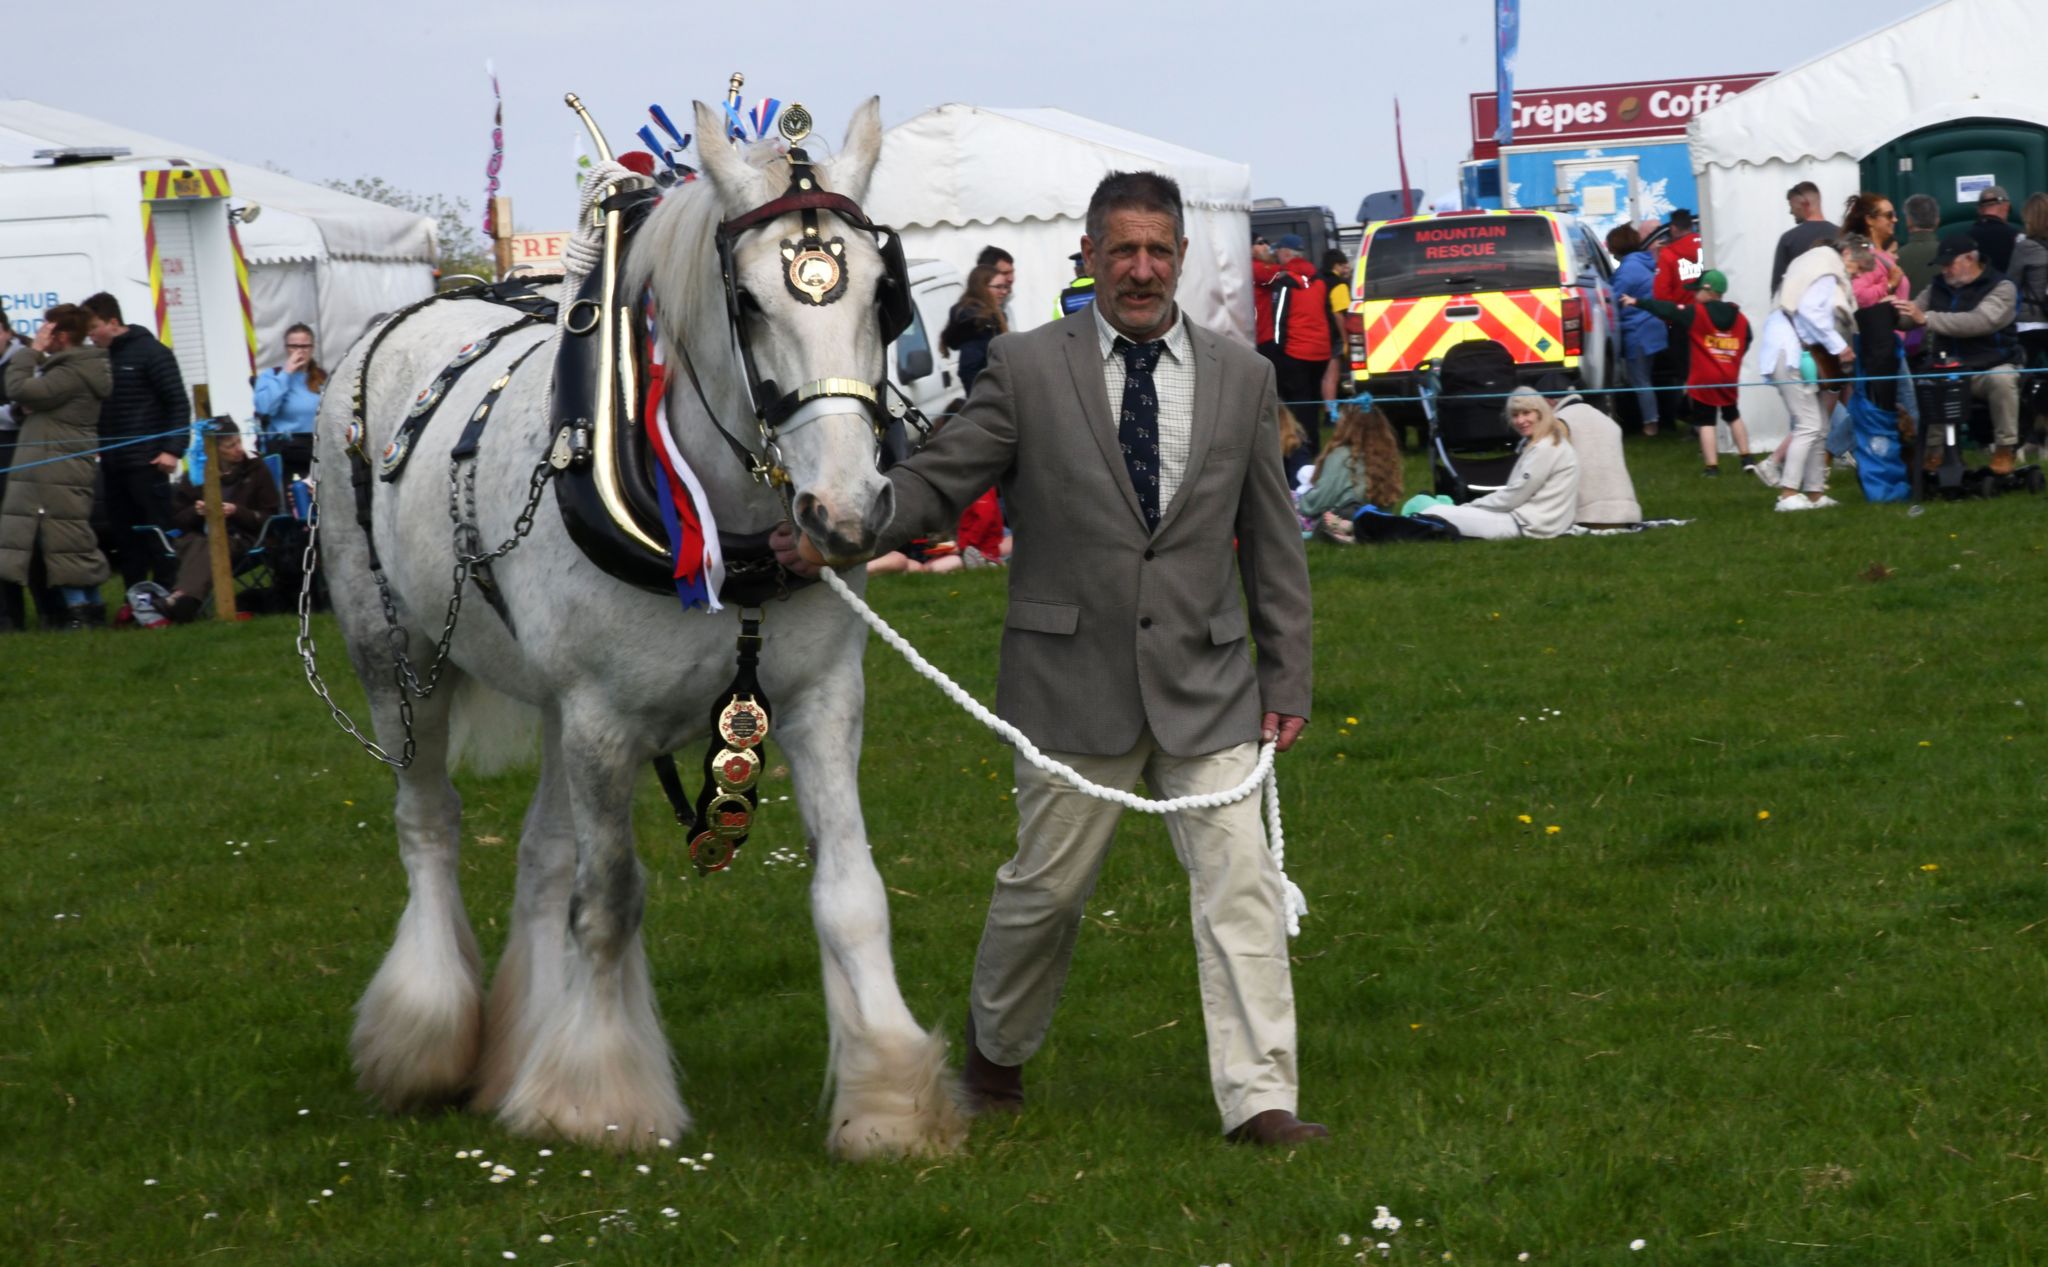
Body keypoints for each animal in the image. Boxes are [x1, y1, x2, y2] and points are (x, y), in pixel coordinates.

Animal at [311, 99, 966, 1162]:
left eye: (884, 296)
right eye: (748, 303)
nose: (846, 511)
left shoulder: (823, 702)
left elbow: (852, 895)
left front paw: (890, 1099)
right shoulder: (602, 720)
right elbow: (611, 897)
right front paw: (594, 1098)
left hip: (548, 702)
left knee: (542, 856)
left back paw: (514, 1046)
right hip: (398, 660)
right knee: (431, 823)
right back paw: (427, 1039)